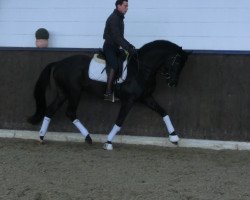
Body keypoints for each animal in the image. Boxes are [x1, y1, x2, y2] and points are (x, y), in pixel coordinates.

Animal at [27, 39, 188, 150]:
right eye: (177, 62)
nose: (173, 83)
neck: (141, 69)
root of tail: (59, 63)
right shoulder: (129, 100)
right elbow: (119, 121)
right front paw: (108, 142)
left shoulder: (146, 97)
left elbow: (163, 112)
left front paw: (174, 137)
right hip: (74, 92)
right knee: (70, 112)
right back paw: (88, 137)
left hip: (63, 93)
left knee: (50, 110)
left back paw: (41, 136)